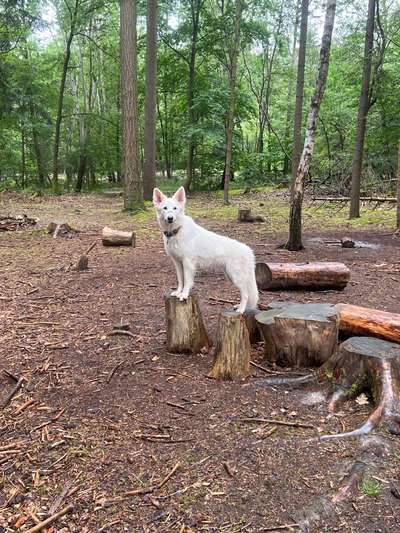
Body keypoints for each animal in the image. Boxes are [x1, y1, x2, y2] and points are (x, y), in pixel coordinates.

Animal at [153, 186, 260, 314]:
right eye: (165, 208)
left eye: (175, 208)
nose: (170, 218)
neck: (176, 232)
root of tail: (249, 251)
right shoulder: (177, 262)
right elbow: (180, 280)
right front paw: (178, 292)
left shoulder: (188, 263)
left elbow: (187, 281)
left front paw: (184, 294)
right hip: (230, 276)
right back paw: (239, 306)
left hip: (235, 276)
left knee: (246, 293)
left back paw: (241, 309)